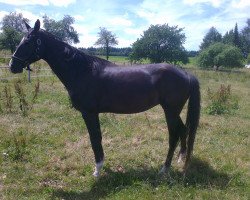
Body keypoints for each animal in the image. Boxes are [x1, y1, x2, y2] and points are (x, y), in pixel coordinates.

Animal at [9, 19, 200, 177]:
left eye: (27, 42)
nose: (12, 66)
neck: (82, 71)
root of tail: (186, 74)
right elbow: (97, 138)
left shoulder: (89, 113)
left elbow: (95, 139)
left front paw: (97, 170)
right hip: (174, 111)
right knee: (183, 130)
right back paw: (180, 159)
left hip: (170, 111)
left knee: (174, 135)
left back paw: (164, 168)